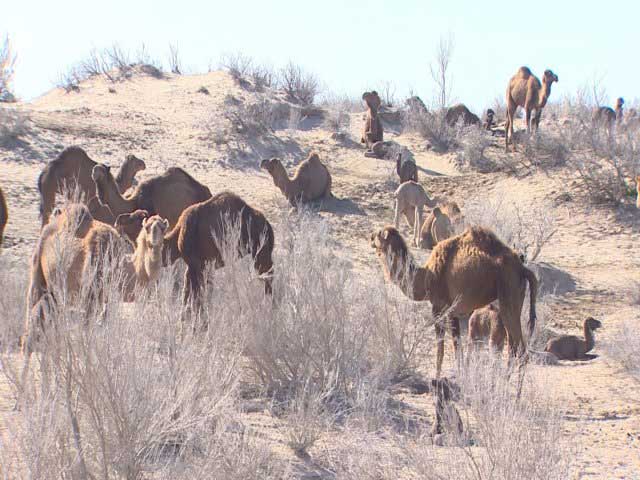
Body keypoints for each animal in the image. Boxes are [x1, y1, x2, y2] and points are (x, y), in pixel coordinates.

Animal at [371, 225, 538, 377]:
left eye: (379, 233)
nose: (371, 237)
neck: (425, 277)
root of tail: (523, 269)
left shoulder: (438, 307)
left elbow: (440, 349)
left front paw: (437, 379)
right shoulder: (453, 312)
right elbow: (457, 347)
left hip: (508, 292)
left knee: (521, 352)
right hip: (513, 299)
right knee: (512, 349)